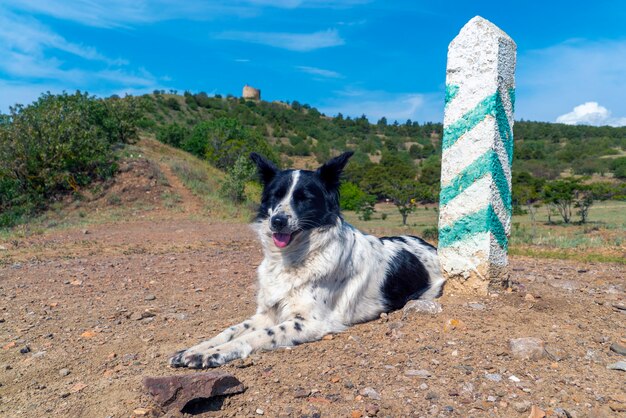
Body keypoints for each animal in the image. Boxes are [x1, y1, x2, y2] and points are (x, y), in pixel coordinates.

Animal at [169, 152, 444, 368]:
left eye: (304, 198)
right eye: (275, 196)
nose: (277, 221)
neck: (293, 258)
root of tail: (429, 246)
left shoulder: (311, 322)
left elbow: (257, 335)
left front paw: (214, 354)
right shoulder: (268, 312)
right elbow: (231, 330)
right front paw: (196, 349)